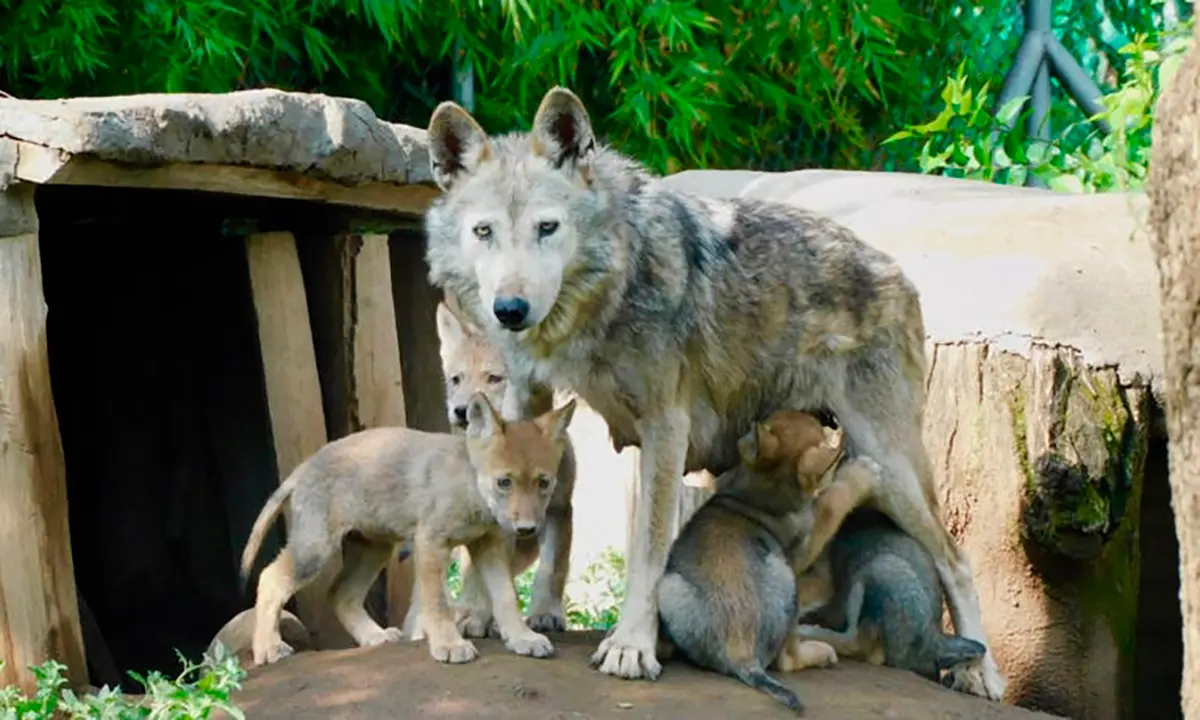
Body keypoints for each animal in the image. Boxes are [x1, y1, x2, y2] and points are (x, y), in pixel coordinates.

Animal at [239, 392, 576, 667]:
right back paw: (268, 648)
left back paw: (373, 637)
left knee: (340, 594)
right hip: (316, 550)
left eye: (543, 483)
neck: (469, 488)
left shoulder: (488, 547)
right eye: (504, 483)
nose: (527, 529)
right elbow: (437, 603)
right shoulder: (431, 543)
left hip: (372, 550)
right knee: (270, 578)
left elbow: (506, 597)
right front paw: (449, 645)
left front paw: (522, 638)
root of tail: (304, 466)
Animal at [401, 299, 578, 640]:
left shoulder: (558, 511)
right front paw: (476, 617)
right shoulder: (491, 530)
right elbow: (481, 580)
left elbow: (552, 570)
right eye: (456, 380)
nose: (460, 411)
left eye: (494, 378)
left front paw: (544, 613)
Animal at [656, 410, 864, 714]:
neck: (761, 494)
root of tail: (740, 652)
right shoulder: (804, 547)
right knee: (787, 660)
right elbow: (831, 503)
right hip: (788, 582)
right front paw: (862, 474)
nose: (828, 418)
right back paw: (821, 652)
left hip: (668, 586)